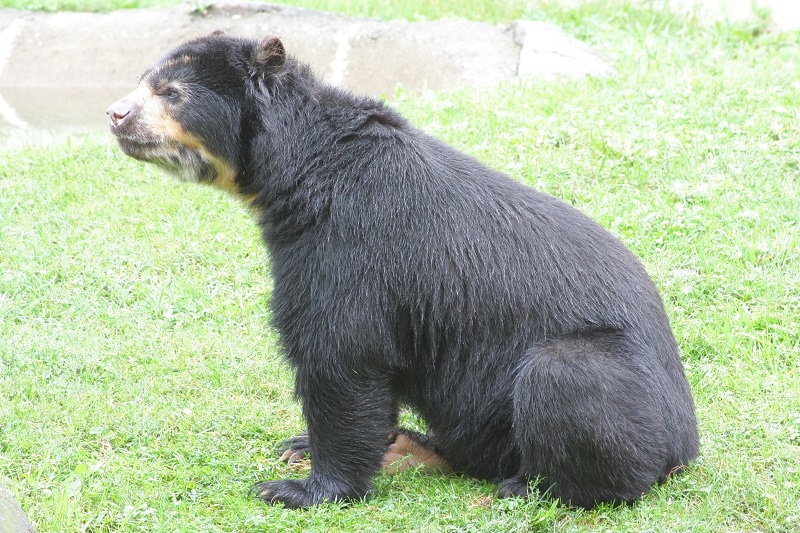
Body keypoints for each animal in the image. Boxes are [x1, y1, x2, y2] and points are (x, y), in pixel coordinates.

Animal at [108, 32, 700, 508]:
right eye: (143, 83)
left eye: (171, 93)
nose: (115, 114)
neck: (302, 171)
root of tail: (685, 447)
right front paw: (300, 446)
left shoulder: (347, 246)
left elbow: (341, 352)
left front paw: (301, 489)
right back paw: (411, 448)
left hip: (607, 383)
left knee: (565, 382)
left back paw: (531, 486)